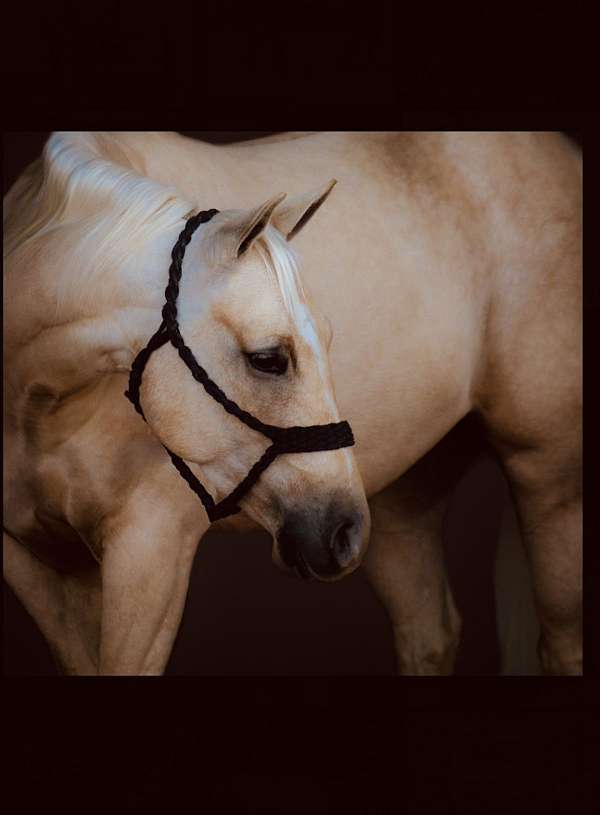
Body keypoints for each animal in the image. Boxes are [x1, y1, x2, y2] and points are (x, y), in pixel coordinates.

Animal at [3, 131, 582, 676]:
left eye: (327, 339)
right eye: (269, 359)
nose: (346, 530)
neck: (41, 404)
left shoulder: (150, 549)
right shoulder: (37, 563)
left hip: (550, 481)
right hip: (404, 500)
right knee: (430, 635)